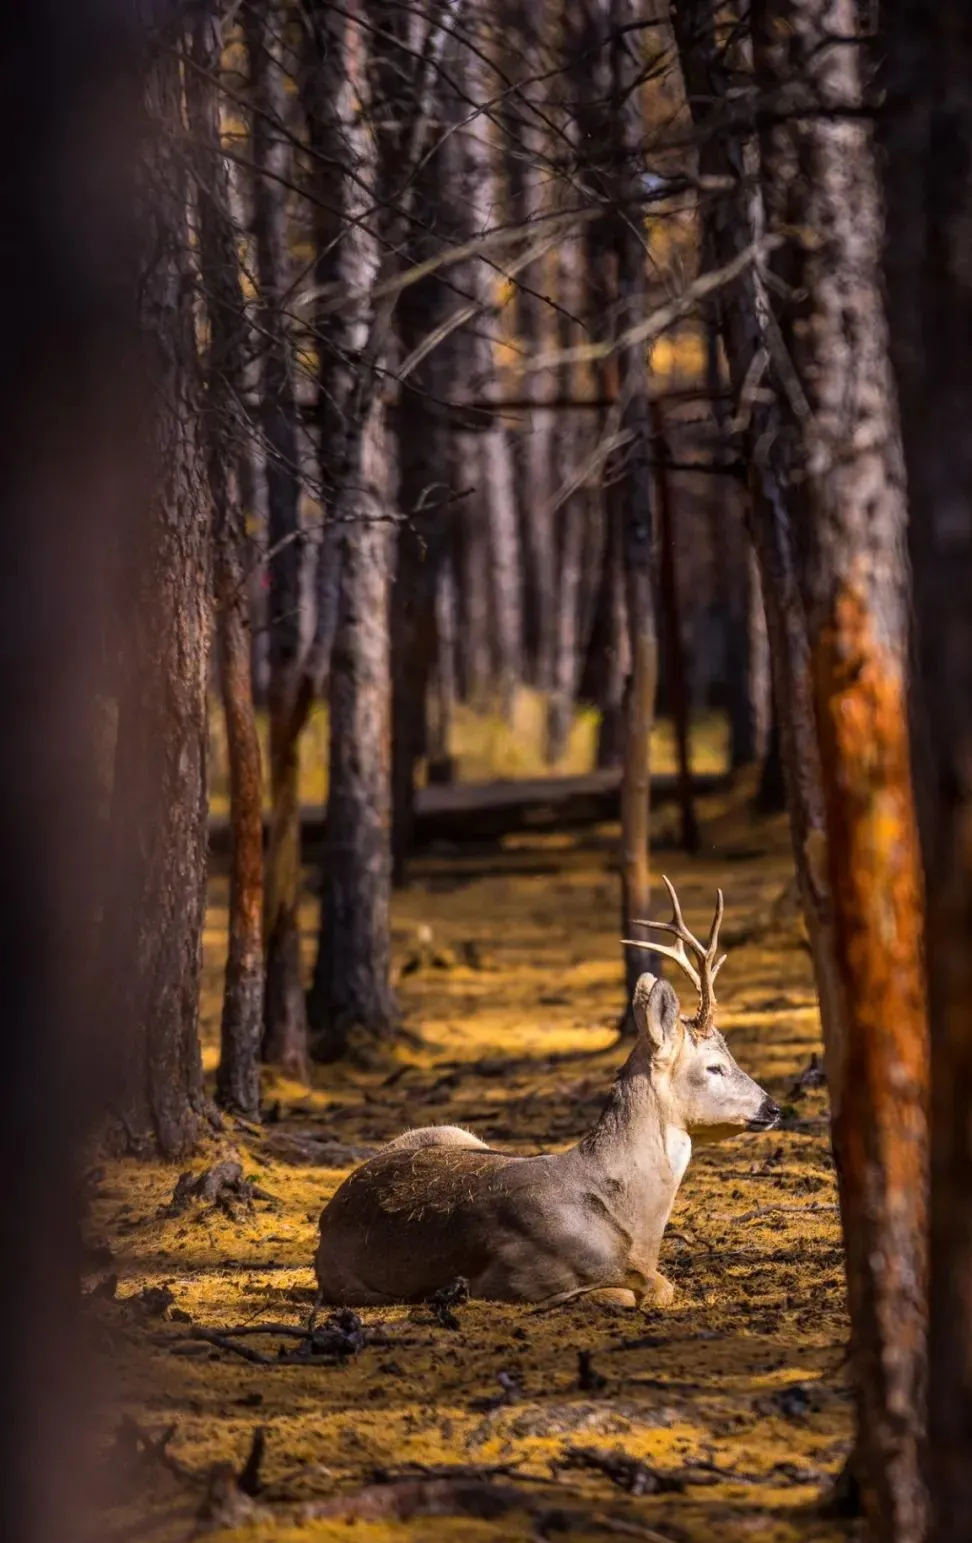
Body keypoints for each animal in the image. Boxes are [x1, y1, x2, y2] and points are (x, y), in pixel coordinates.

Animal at [316, 882, 780, 1302]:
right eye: (715, 1067)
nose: (773, 1107)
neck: (633, 1225)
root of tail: (328, 1213)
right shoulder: (517, 1276)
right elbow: (638, 1291)